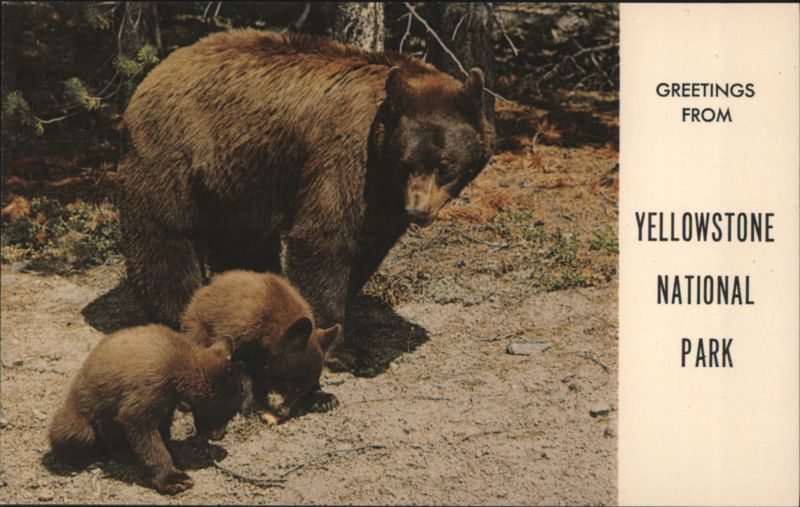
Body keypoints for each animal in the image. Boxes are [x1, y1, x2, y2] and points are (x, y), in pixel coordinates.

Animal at [48, 324, 245, 494]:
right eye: (228, 412)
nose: (219, 436)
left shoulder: (166, 403)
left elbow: (163, 429)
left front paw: (174, 455)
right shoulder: (150, 384)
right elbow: (143, 432)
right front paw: (172, 479)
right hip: (80, 421)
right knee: (77, 434)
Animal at [118, 29, 494, 369]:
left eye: (444, 164)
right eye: (406, 162)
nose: (416, 211)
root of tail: (154, 72)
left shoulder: (381, 195)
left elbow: (368, 244)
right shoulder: (345, 156)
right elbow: (324, 238)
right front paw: (343, 351)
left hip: (238, 180)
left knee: (242, 244)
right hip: (175, 151)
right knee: (166, 236)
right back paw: (180, 314)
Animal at [180, 270, 342, 422]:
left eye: (302, 390)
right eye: (288, 385)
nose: (283, 412)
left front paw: (324, 398)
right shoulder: (238, 333)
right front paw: (249, 406)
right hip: (198, 330)